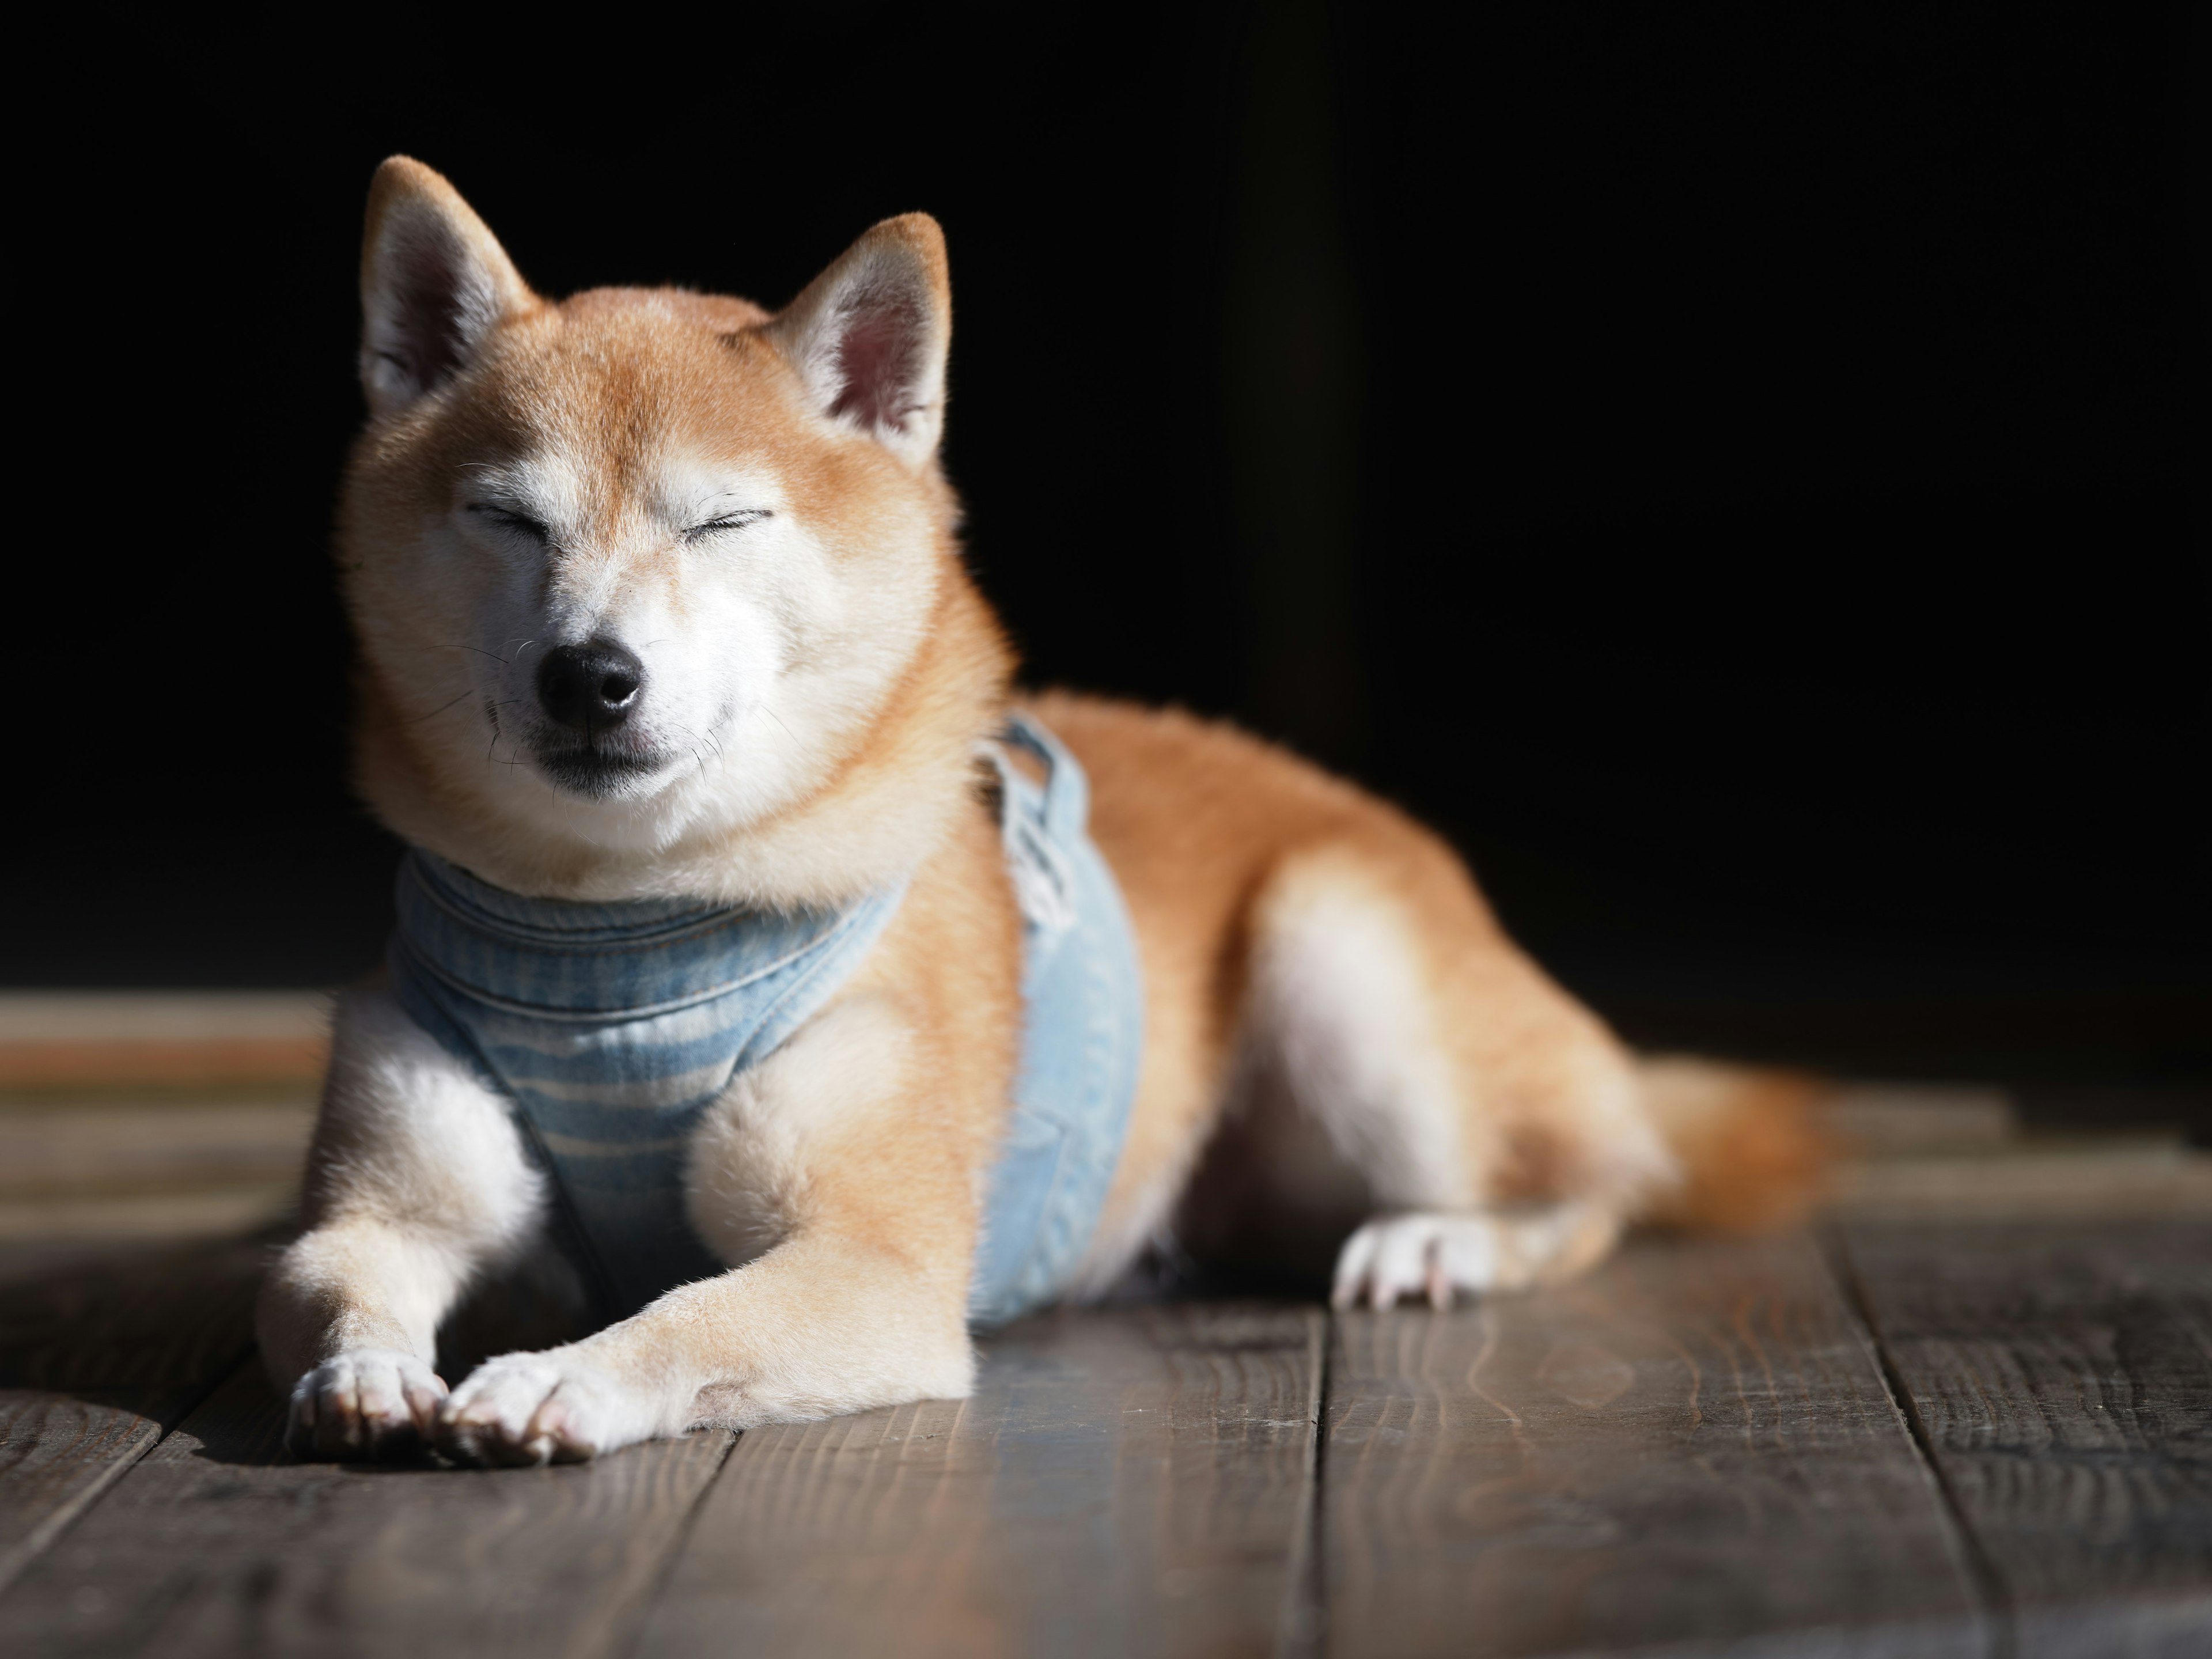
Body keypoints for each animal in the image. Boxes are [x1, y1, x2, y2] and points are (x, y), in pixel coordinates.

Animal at [259, 156, 1823, 1468]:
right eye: (508, 520)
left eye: (723, 524)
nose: (590, 674)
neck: (611, 937)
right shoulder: (391, 1203)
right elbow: (332, 1279)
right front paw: (367, 1376)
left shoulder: (876, 1266)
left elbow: (687, 1316)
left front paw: (558, 1376)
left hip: (1345, 963)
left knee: (1601, 1185)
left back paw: (1440, 1242)